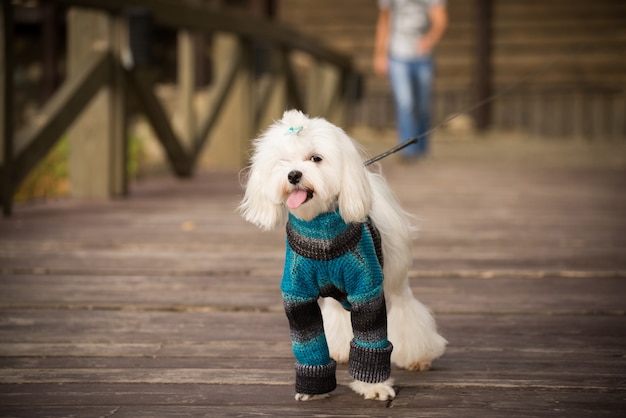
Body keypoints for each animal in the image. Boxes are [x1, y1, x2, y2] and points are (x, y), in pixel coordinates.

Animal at [236, 110, 446, 402]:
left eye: (316, 158)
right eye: (282, 161)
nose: (293, 174)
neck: (321, 233)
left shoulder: (367, 289)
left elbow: (372, 336)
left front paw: (374, 386)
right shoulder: (298, 296)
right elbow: (309, 339)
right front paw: (313, 389)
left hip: (395, 279)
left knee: (407, 311)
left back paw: (418, 355)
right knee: (338, 315)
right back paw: (339, 350)